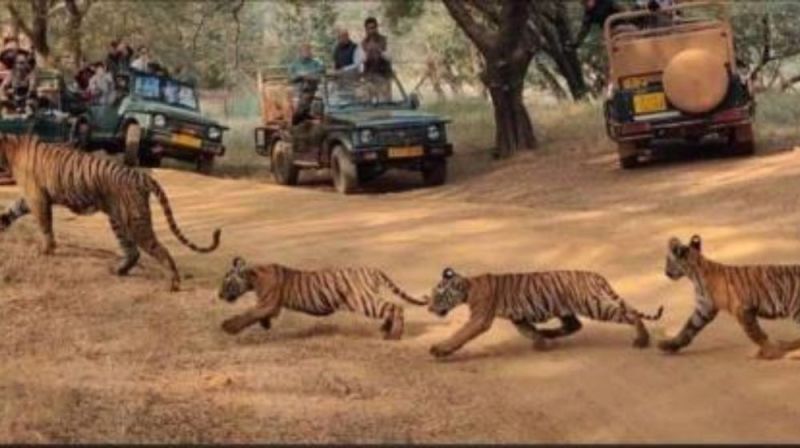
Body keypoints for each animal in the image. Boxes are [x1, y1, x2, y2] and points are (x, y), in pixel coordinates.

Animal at [0, 134, 221, 291]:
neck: (9, 150)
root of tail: (140, 175)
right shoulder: (28, 198)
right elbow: (11, 211)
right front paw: (2, 226)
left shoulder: (37, 197)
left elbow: (45, 225)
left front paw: (47, 250)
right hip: (120, 220)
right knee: (133, 251)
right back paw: (119, 270)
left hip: (136, 223)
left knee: (160, 249)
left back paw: (174, 283)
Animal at [217, 257, 427, 339]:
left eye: (226, 283)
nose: (219, 295)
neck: (252, 278)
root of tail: (372, 270)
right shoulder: (270, 306)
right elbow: (255, 315)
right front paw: (265, 324)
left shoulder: (267, 303)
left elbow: (247, 315)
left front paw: (228, 327)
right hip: (366, 299)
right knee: (390, 308)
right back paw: (385, 329)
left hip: (361, 301)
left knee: (395, 307)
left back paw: (394, 335)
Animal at [425, 267, 664, 358]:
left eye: (438, 296)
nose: (428, 308)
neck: (467, 288)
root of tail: (594, 275)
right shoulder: (518, 318)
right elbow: (529, 331)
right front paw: (541, 343)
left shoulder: (479, 319)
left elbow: (460, 334)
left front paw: (440, 349)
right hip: (565, 308)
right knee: (574, 325)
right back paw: (548, 334)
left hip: (593, 305)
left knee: (630, 315)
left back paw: (642, 340)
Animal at [661, 234, 800, 360]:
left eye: (668, 261)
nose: (665, 272)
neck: (694, 275)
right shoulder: (703, 309)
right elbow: (688, 328)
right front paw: (668, 345)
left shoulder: (742, 310)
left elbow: (756, 334)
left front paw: (770, 352)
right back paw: (786, 345)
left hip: (796, 309)